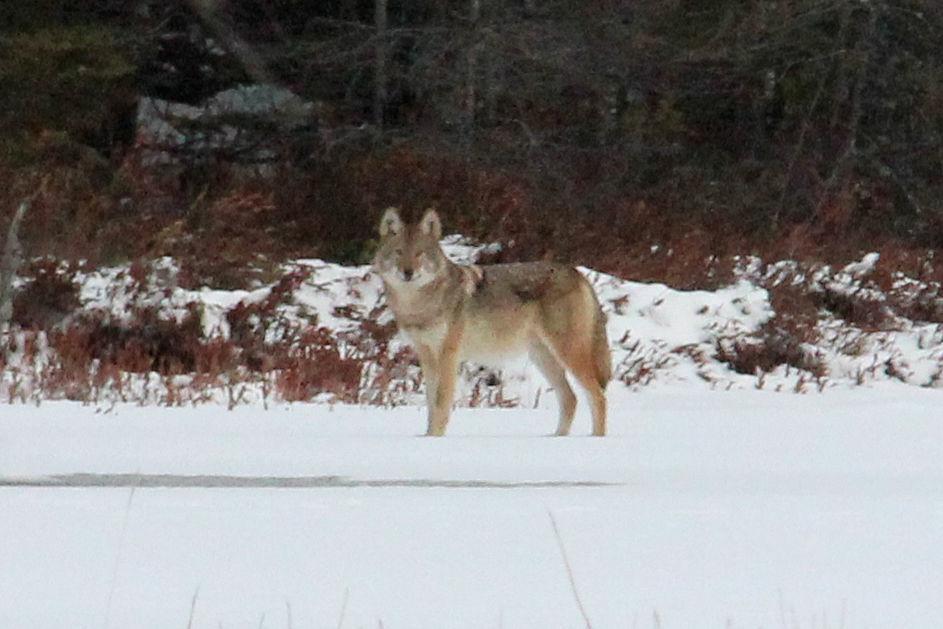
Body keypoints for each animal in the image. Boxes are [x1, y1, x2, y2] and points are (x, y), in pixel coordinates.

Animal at [373, 207, 611, 437]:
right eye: (399, 252)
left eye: (419, 253)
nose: (408, 272)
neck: (418, 304)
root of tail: (576, 272)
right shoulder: (426, 356)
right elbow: (431, 403)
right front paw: (428, 437)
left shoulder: (448, 355)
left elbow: (441, 403)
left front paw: (436, 438)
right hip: (543, 358)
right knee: (571, 399)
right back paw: (557, 438)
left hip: (568, 354)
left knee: (598, 396)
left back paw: (596, 439)